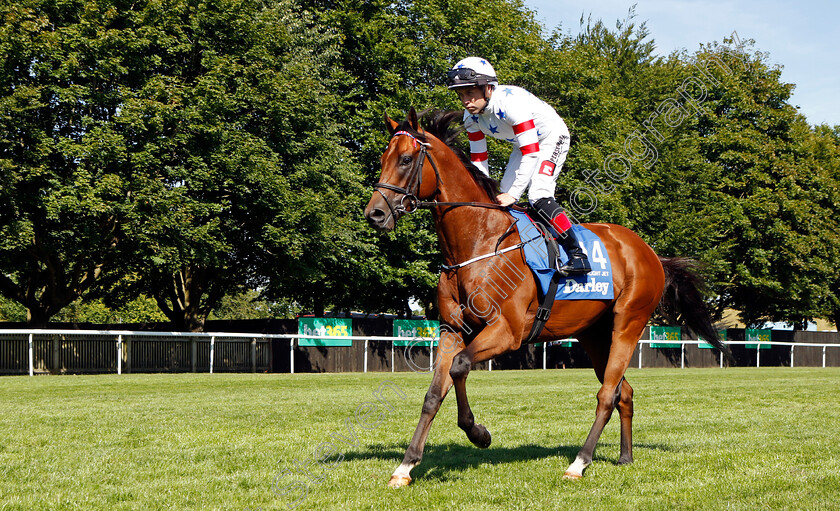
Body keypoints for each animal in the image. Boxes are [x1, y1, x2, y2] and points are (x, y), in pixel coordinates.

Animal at [364, 109, 724, 488]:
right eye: (383, 159)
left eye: (405, 159)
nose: (374, 214)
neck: (479, 243)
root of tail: (651, 253)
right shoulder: (452, 330)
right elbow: (434, 394)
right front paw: (405, 467)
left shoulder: (507, 332)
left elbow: (461, 366)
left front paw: (478, 433)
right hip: (595, 334)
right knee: (623, 392)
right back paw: (624, 457)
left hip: (629, 323)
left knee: (607, 395)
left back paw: (579, 462)